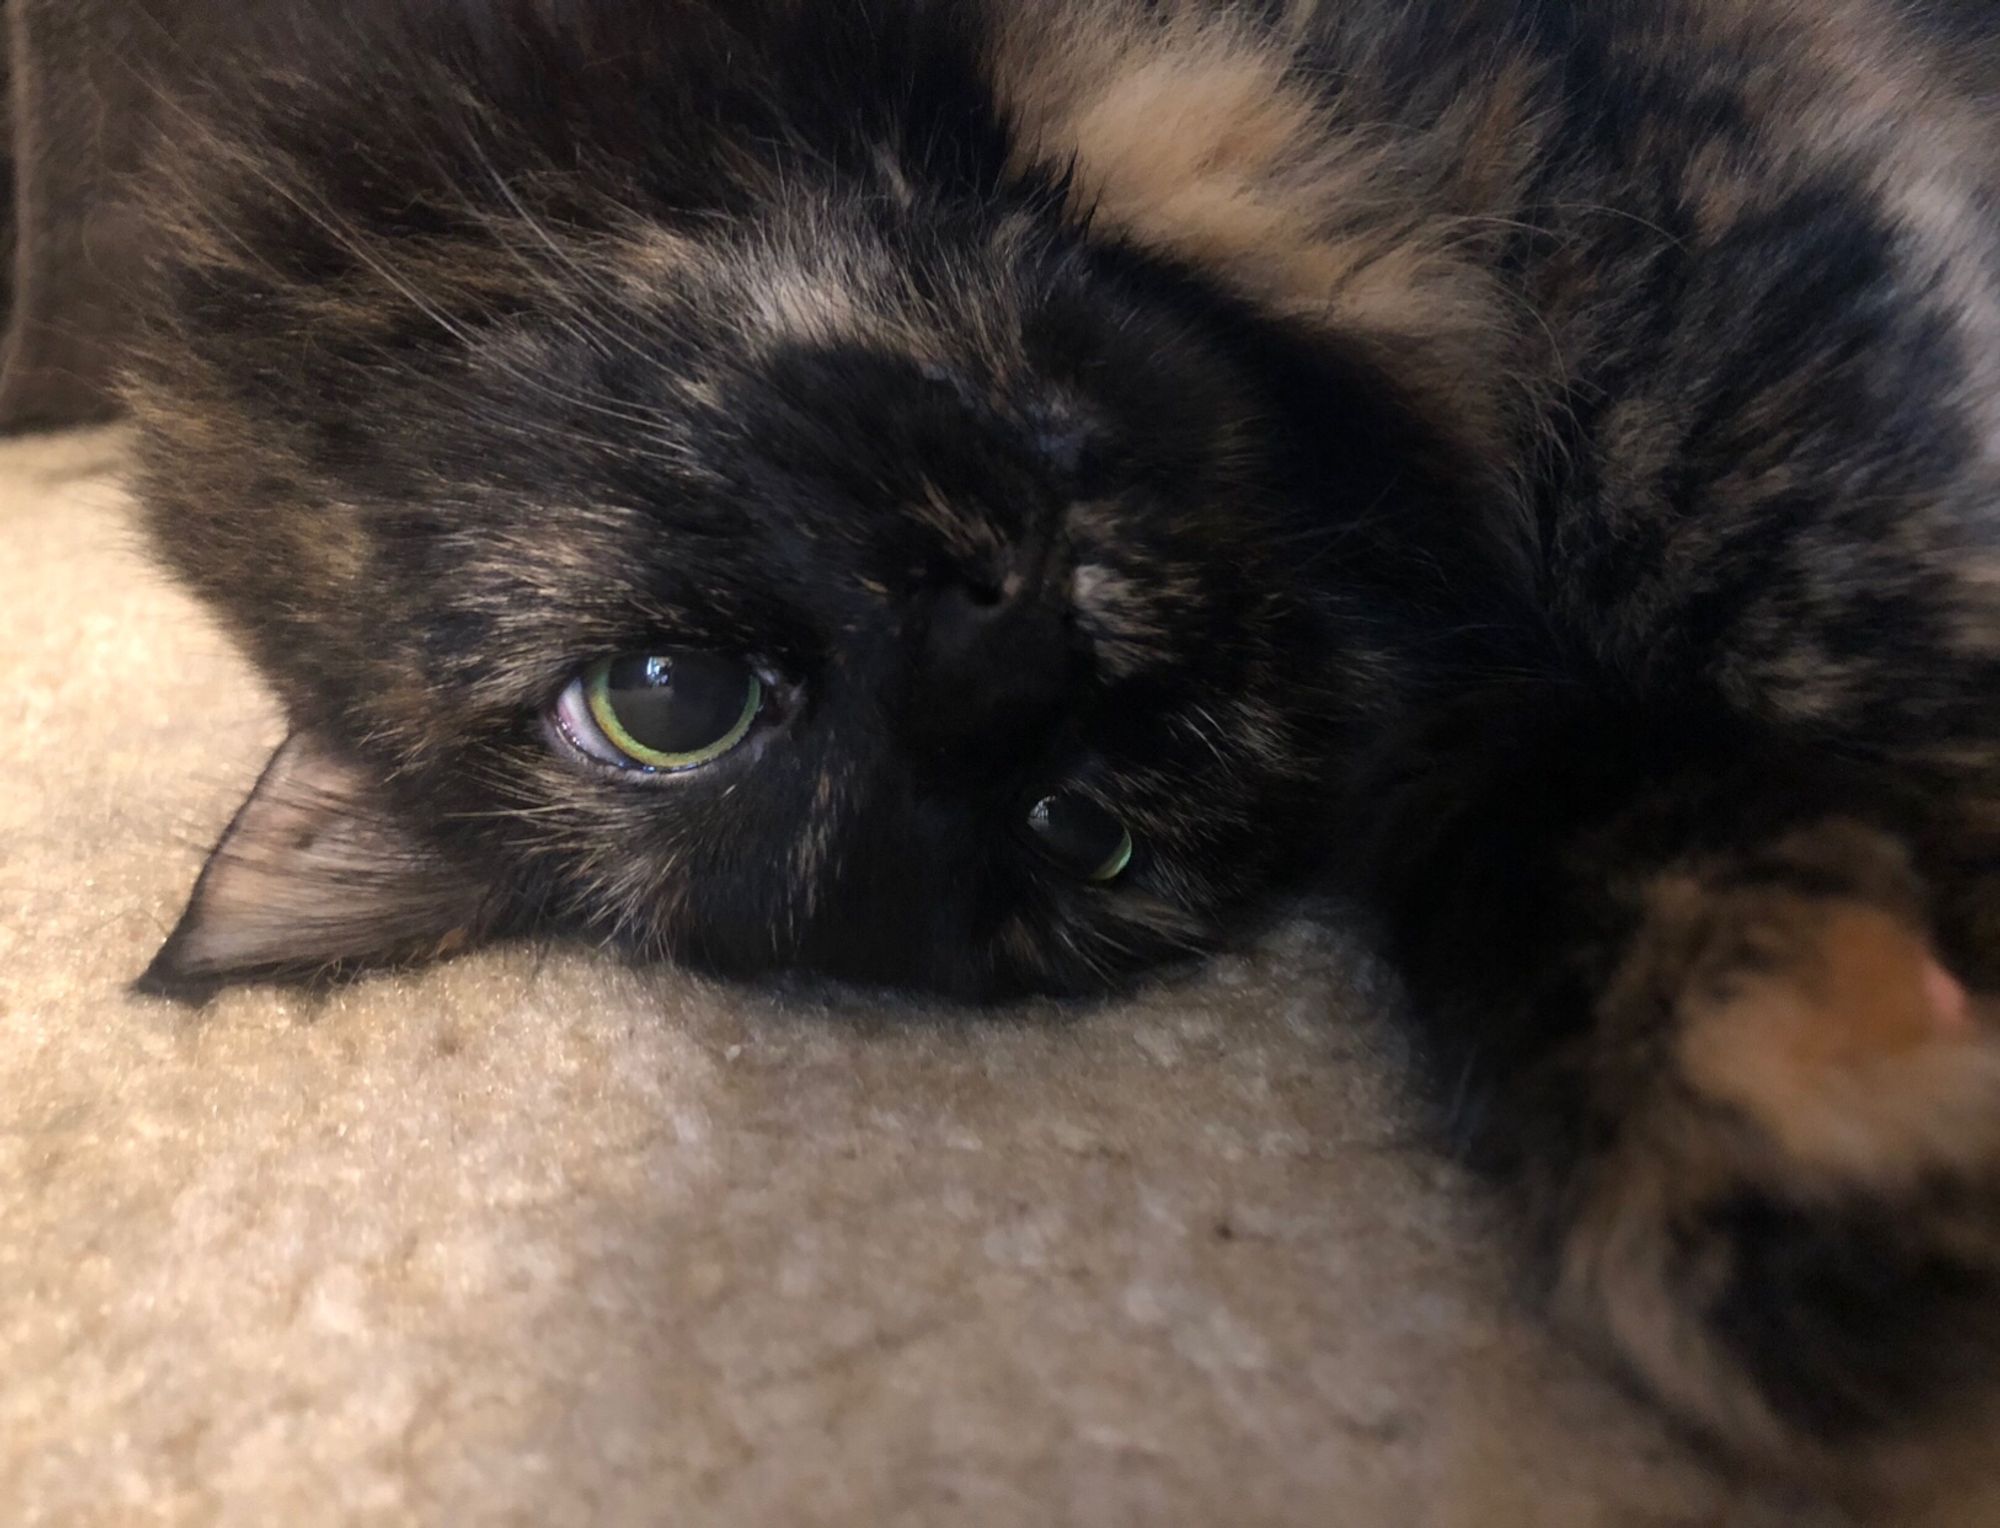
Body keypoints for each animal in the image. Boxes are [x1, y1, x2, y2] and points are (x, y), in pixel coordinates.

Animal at [125, 0, 2000, 1480]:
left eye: (663, 701)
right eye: (1080, 828)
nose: (1018, 647)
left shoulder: (1668, 246)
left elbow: (1807, 575)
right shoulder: (1480, 719)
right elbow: (1590, 877)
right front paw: (1807, 1173)